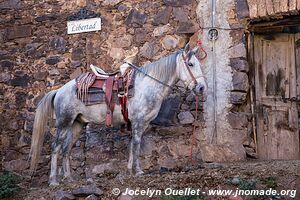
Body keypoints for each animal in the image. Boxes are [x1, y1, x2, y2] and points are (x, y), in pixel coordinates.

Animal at [28, 44, 206, 186]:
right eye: (191, 64)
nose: (202, 87)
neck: (147, 85)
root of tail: (59, 91)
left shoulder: (140, 124)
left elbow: (132, 145)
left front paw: (129, 171)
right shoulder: (138, 122)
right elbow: (136, 145)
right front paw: (138, 171)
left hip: (77, 124)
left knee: (66, 149)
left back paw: (69, 178)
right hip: (64, 123)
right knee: (56, 148)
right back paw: (53, 181)